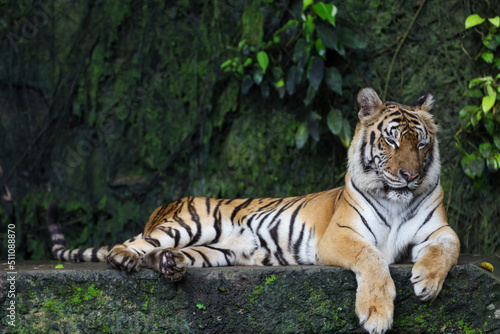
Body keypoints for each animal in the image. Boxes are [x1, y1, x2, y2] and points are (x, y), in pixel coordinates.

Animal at [47, 88, 460, 334]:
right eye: (391, 140)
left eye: (421, 143)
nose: (410, 175)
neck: (396, 200)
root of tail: (166, 205)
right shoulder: (341, 235)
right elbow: (372, 259)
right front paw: (376, 313)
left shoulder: (437, 229)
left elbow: (449, 245)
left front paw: (427, 281)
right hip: (187, 224)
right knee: (137, 243)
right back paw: (123, 258)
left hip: (217, 252)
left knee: (160, 254)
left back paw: (170, 265)